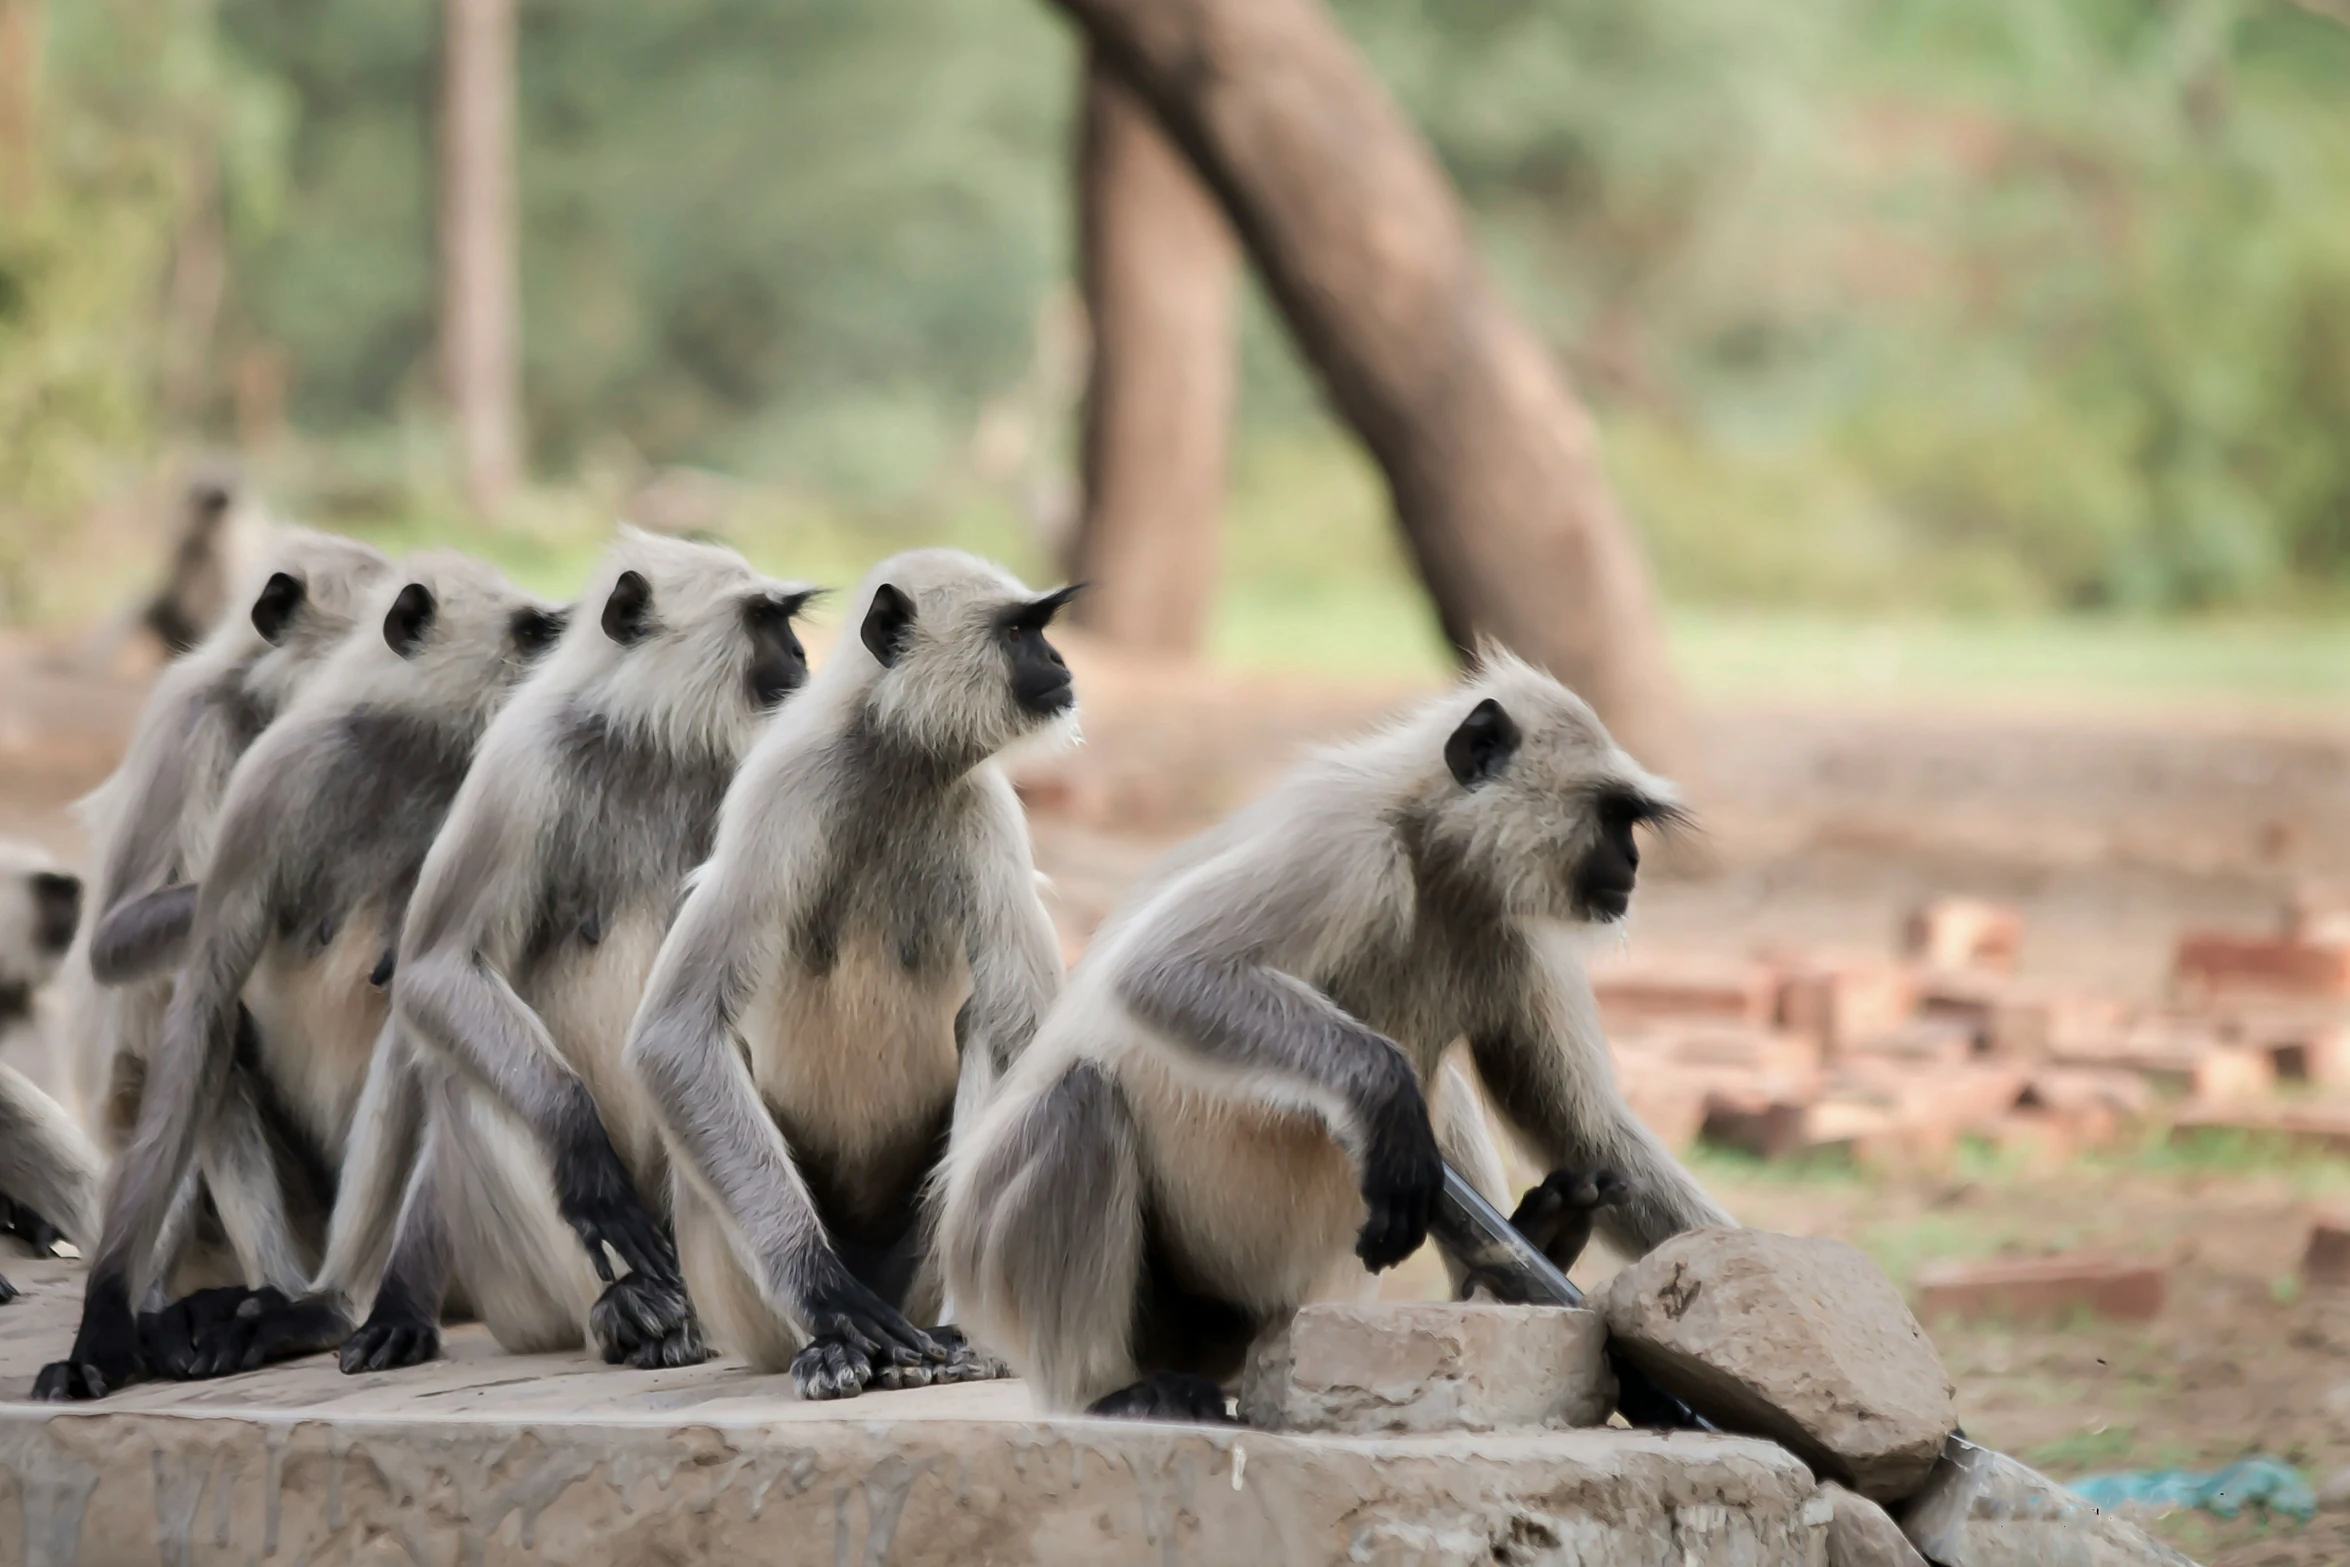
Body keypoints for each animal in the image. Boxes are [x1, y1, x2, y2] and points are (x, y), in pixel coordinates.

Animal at [43, 552, 566, 1400]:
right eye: (532, 633)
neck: (407, 750)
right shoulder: (272, 783)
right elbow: (200, 1004)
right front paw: (104, 1322)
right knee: (211, 1048)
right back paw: (258, 1299)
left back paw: (332, 1305)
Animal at [197, 533, 827, 1381]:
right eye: (764, 620)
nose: (800, 652)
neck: (654, 743)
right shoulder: (521, 760)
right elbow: (438, 967)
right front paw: (579, 1145)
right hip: (529, 1293)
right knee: (458, 1067)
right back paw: (624, 1309)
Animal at [620, 549, 1071, 1400]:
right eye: (1020, 632)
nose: (1061, 664)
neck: (896, 762)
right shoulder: (780, 794)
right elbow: (675, 1032)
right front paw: (823, 1292)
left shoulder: (990, 817)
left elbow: (1036, 1038)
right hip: (749, 1305)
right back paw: (831, 1343)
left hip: (914, 1274)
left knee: (990, 1023)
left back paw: (964, 1335)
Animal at [930, 648, 1729, 1418]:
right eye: (1613, 815)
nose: (1633, 861)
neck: (1433, 853)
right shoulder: (1345, 838)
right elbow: (1166, 973)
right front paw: (1388, 1103)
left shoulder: (1517, 927)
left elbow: (1582, 1122)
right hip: (989, 1261)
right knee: (1084, 1097)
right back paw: (1106, 1388)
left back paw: (1521, 1259)